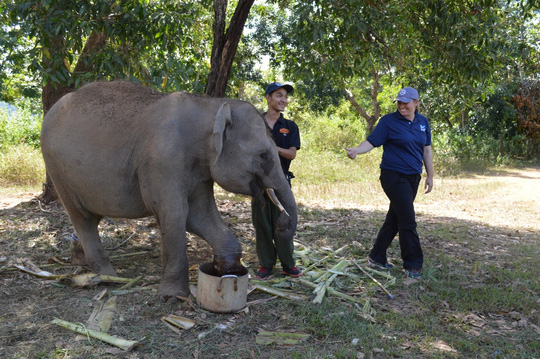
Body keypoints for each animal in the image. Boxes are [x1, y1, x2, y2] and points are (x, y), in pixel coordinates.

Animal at [40, 80, 298, 302]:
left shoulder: (200, 170)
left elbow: (199, 215)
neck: (211, 106)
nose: (281, 225)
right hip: (56, 168)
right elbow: (175, 214)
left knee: (91, 216)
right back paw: (107, 277)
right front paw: (173, 297)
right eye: (263, 155)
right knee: (82, 217)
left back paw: (81, 262)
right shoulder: (161, 162)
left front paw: (227, 268)